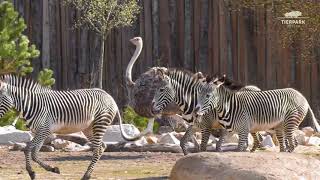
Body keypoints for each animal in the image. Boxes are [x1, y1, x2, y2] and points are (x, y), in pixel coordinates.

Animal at [0, 74, 147, 179]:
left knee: (98, 149)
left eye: (0, 100)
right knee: (101, 147)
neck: (32, 105)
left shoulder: (44, 130)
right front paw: (36, 172)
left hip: (100, 123)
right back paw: (88, 174)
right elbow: (30, 150)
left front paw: (47, 170)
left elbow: (32, 151)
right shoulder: (40, 132)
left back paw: (86, 176)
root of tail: (108, 95)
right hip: (88, 128)